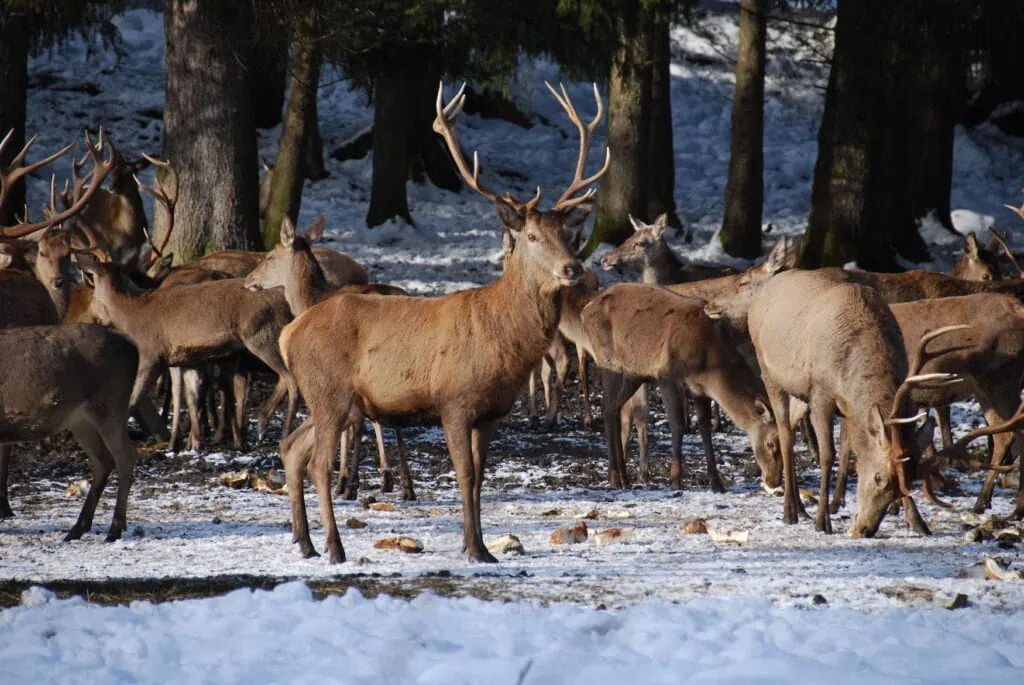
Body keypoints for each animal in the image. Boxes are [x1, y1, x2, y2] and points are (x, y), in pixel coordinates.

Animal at [241, 213, 413, 497]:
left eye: (269, 256)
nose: (248, 280)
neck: (309, 301)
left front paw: (343, 479)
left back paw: (355, 482)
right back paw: (404, 485)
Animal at [276, 81, 602, 561]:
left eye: (569, 235)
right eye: (531, 235)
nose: (572, 268)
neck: (502, 337)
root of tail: (289, 332)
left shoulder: (492, 412)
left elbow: (481, 478)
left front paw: (480, 545)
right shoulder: (454, 400)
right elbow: (464, 476)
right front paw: (475, 549)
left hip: (333, 398)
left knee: (292, 447)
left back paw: (305, 543)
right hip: (329, 390)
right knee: (316, 461)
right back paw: (334, 547)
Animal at [704, 264, 958, 536]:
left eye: (907, 483)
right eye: (878, 477)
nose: (865, 529)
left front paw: (918, 522)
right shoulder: (820, 393)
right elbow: (828, 455)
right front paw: (822, 520)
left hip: (800, 392)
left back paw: (800, 507)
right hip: (769, 371)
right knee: (785, 434)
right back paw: (790, 511)